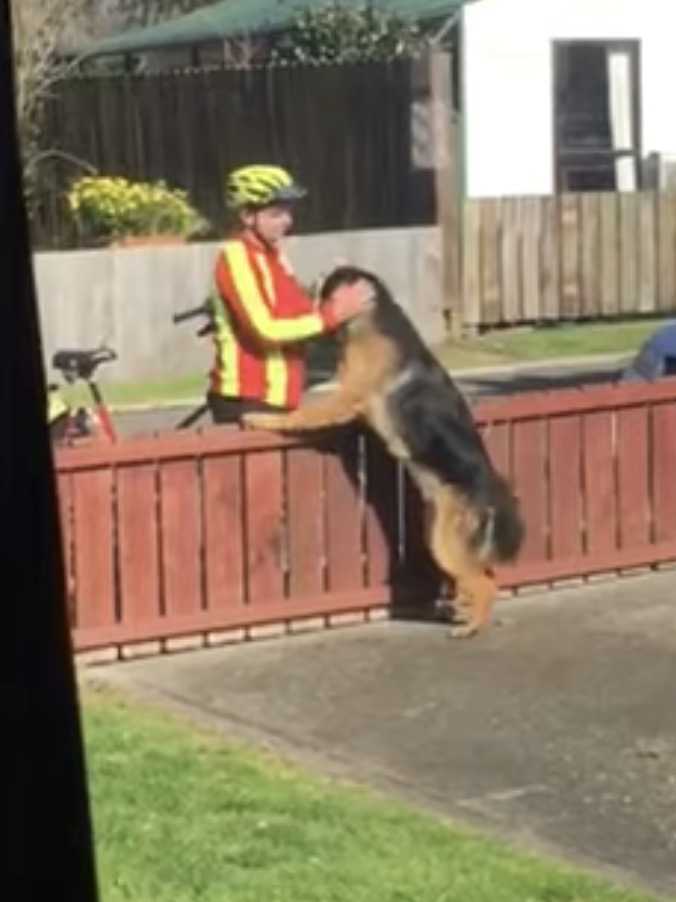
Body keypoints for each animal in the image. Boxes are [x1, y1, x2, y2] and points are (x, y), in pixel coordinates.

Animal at [243, 264, 524, 640]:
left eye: (324, 283)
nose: (303, 285)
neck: (372, 312)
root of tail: (493, 493)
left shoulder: (346, 394)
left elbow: (301, 414)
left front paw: (263, 418)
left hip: (446, 545)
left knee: (484, 583)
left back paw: (468, 628)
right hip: (443, 537)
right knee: (485, 577)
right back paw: (468, 616)